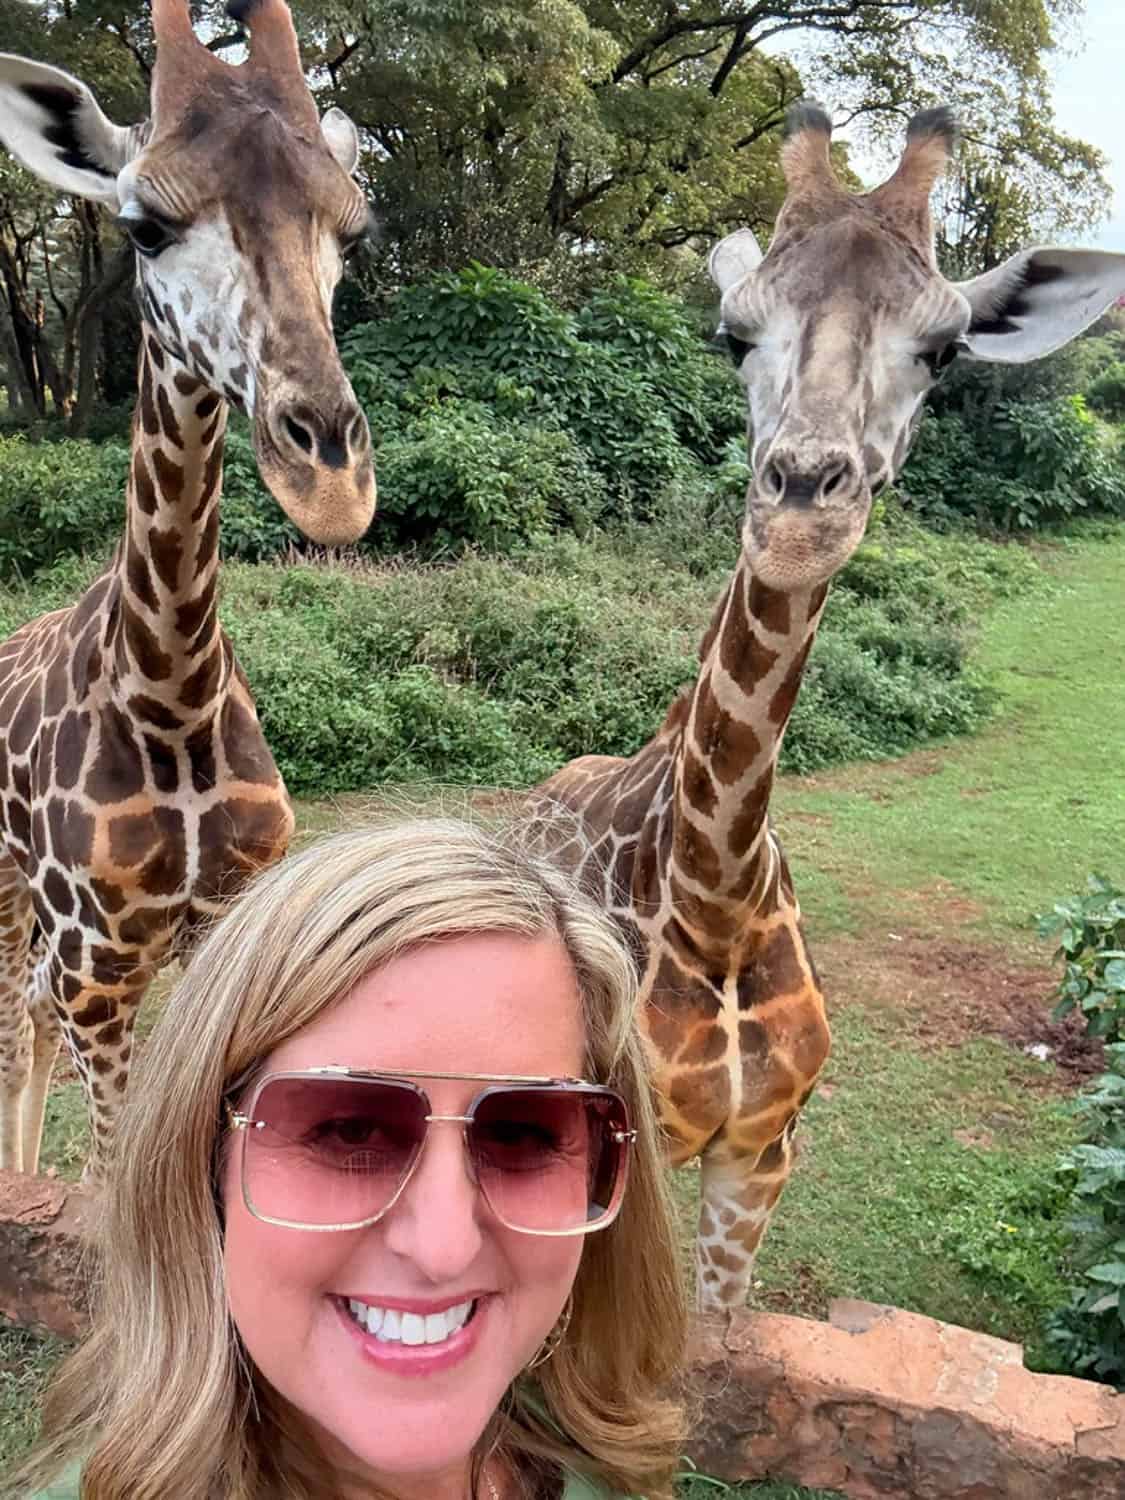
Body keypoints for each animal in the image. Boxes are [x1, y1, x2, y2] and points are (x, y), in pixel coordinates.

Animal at [0, 0, 376, 1178]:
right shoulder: (101, 967)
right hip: (9, 889)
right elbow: (119, 1168)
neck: (172, 696)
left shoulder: (222, 926)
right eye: (143, 227)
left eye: (352, 232)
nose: (330, 484)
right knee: (12, 1013)